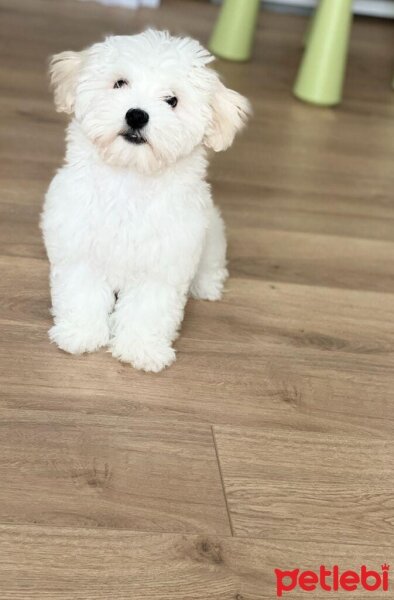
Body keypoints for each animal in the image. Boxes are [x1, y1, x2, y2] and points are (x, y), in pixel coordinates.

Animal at [41, 31, 251, 370]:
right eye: (120, 83)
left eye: (172, 100)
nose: (137, 115)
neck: (130, 181)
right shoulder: (80, 248)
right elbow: (81, 291)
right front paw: (81, 332)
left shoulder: (163, 266)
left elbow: (148, 309)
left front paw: (141, 348)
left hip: (211, 234)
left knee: (212, 261)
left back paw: (208, 285)